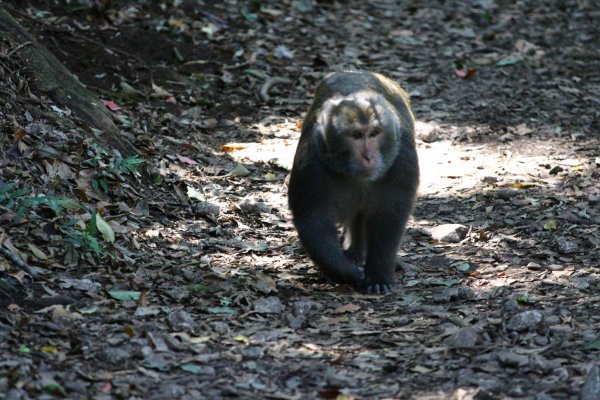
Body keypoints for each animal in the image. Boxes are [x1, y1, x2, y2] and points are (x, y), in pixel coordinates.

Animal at [286, 71, 418, 294]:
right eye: (356, 135)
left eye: (374, 133)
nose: (368, 157)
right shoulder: (311, 161)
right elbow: (314, 220)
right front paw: (348, 273)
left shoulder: (402, 158)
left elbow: (389, 215)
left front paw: (379, 275)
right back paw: (354, 252)